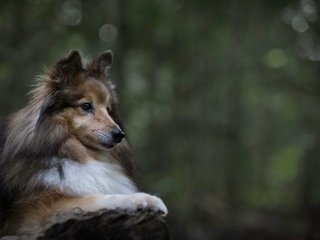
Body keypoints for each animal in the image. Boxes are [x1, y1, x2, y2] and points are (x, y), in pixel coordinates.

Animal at [0, 49, 169, 235]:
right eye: (86, 106)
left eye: (108, 109)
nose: (119, 135)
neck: (68, 151)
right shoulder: (40, 210)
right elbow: (101, 197)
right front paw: (147, 199)